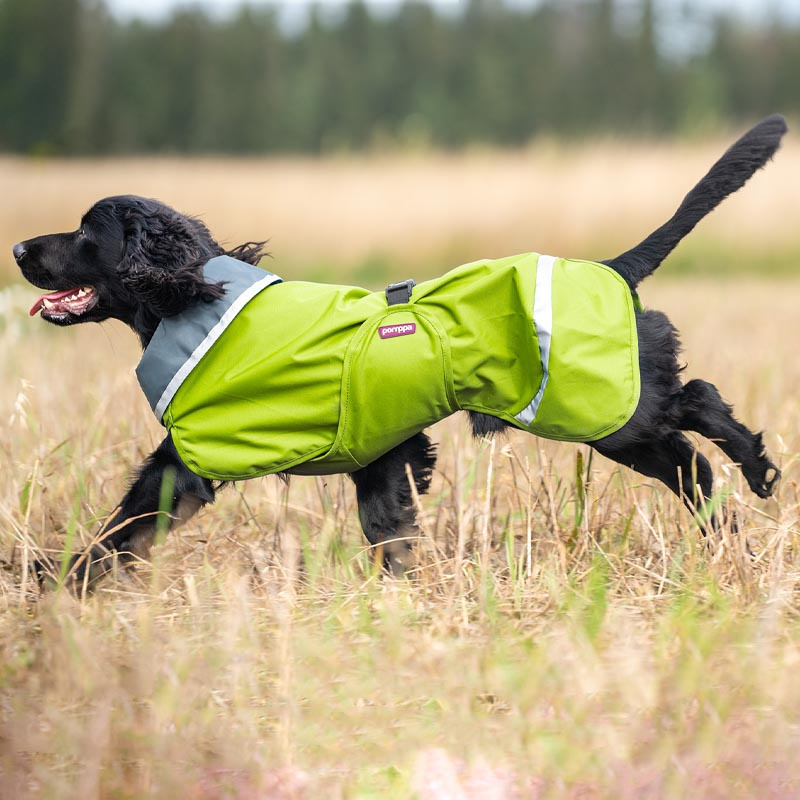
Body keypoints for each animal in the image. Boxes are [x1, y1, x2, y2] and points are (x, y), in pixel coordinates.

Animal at [12, 115, 784, 584]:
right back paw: (730, 531)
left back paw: (757, 468)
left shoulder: (190, 462)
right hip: (611, 419)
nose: (18, 247)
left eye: (86, 231)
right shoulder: (385, 456)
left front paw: (55, 587)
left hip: (604, 407)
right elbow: (390, 533)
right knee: (689, 464)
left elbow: (120, 531)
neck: (197, 298)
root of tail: (614, 268)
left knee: (696, 404)